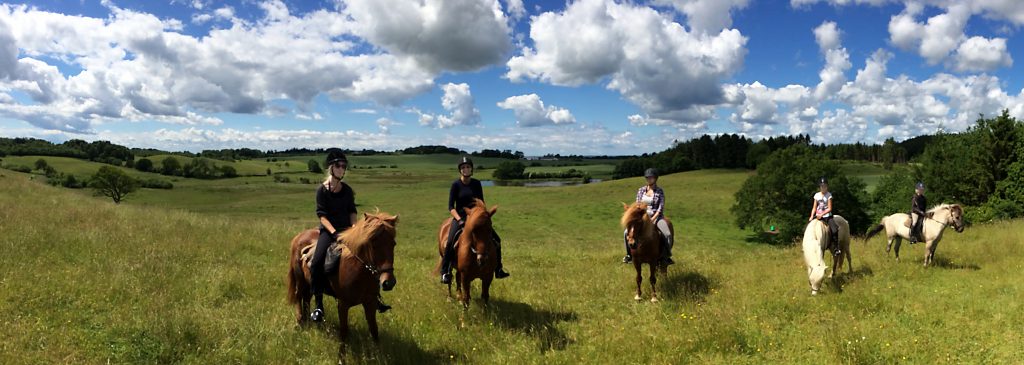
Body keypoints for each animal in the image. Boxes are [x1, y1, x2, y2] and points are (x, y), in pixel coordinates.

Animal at [288, 211, 403, 350]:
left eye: (393, 244)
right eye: (373, 243)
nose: (388, 282)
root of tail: (299, 236)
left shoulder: (370, 303)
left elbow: (374, 330)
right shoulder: (343, 304)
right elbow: (343, 332)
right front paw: (341, 355)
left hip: (308, 283)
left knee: (307, 299)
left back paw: (308, 321)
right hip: (300, 281)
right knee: (299, 297)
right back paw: (300, 322)